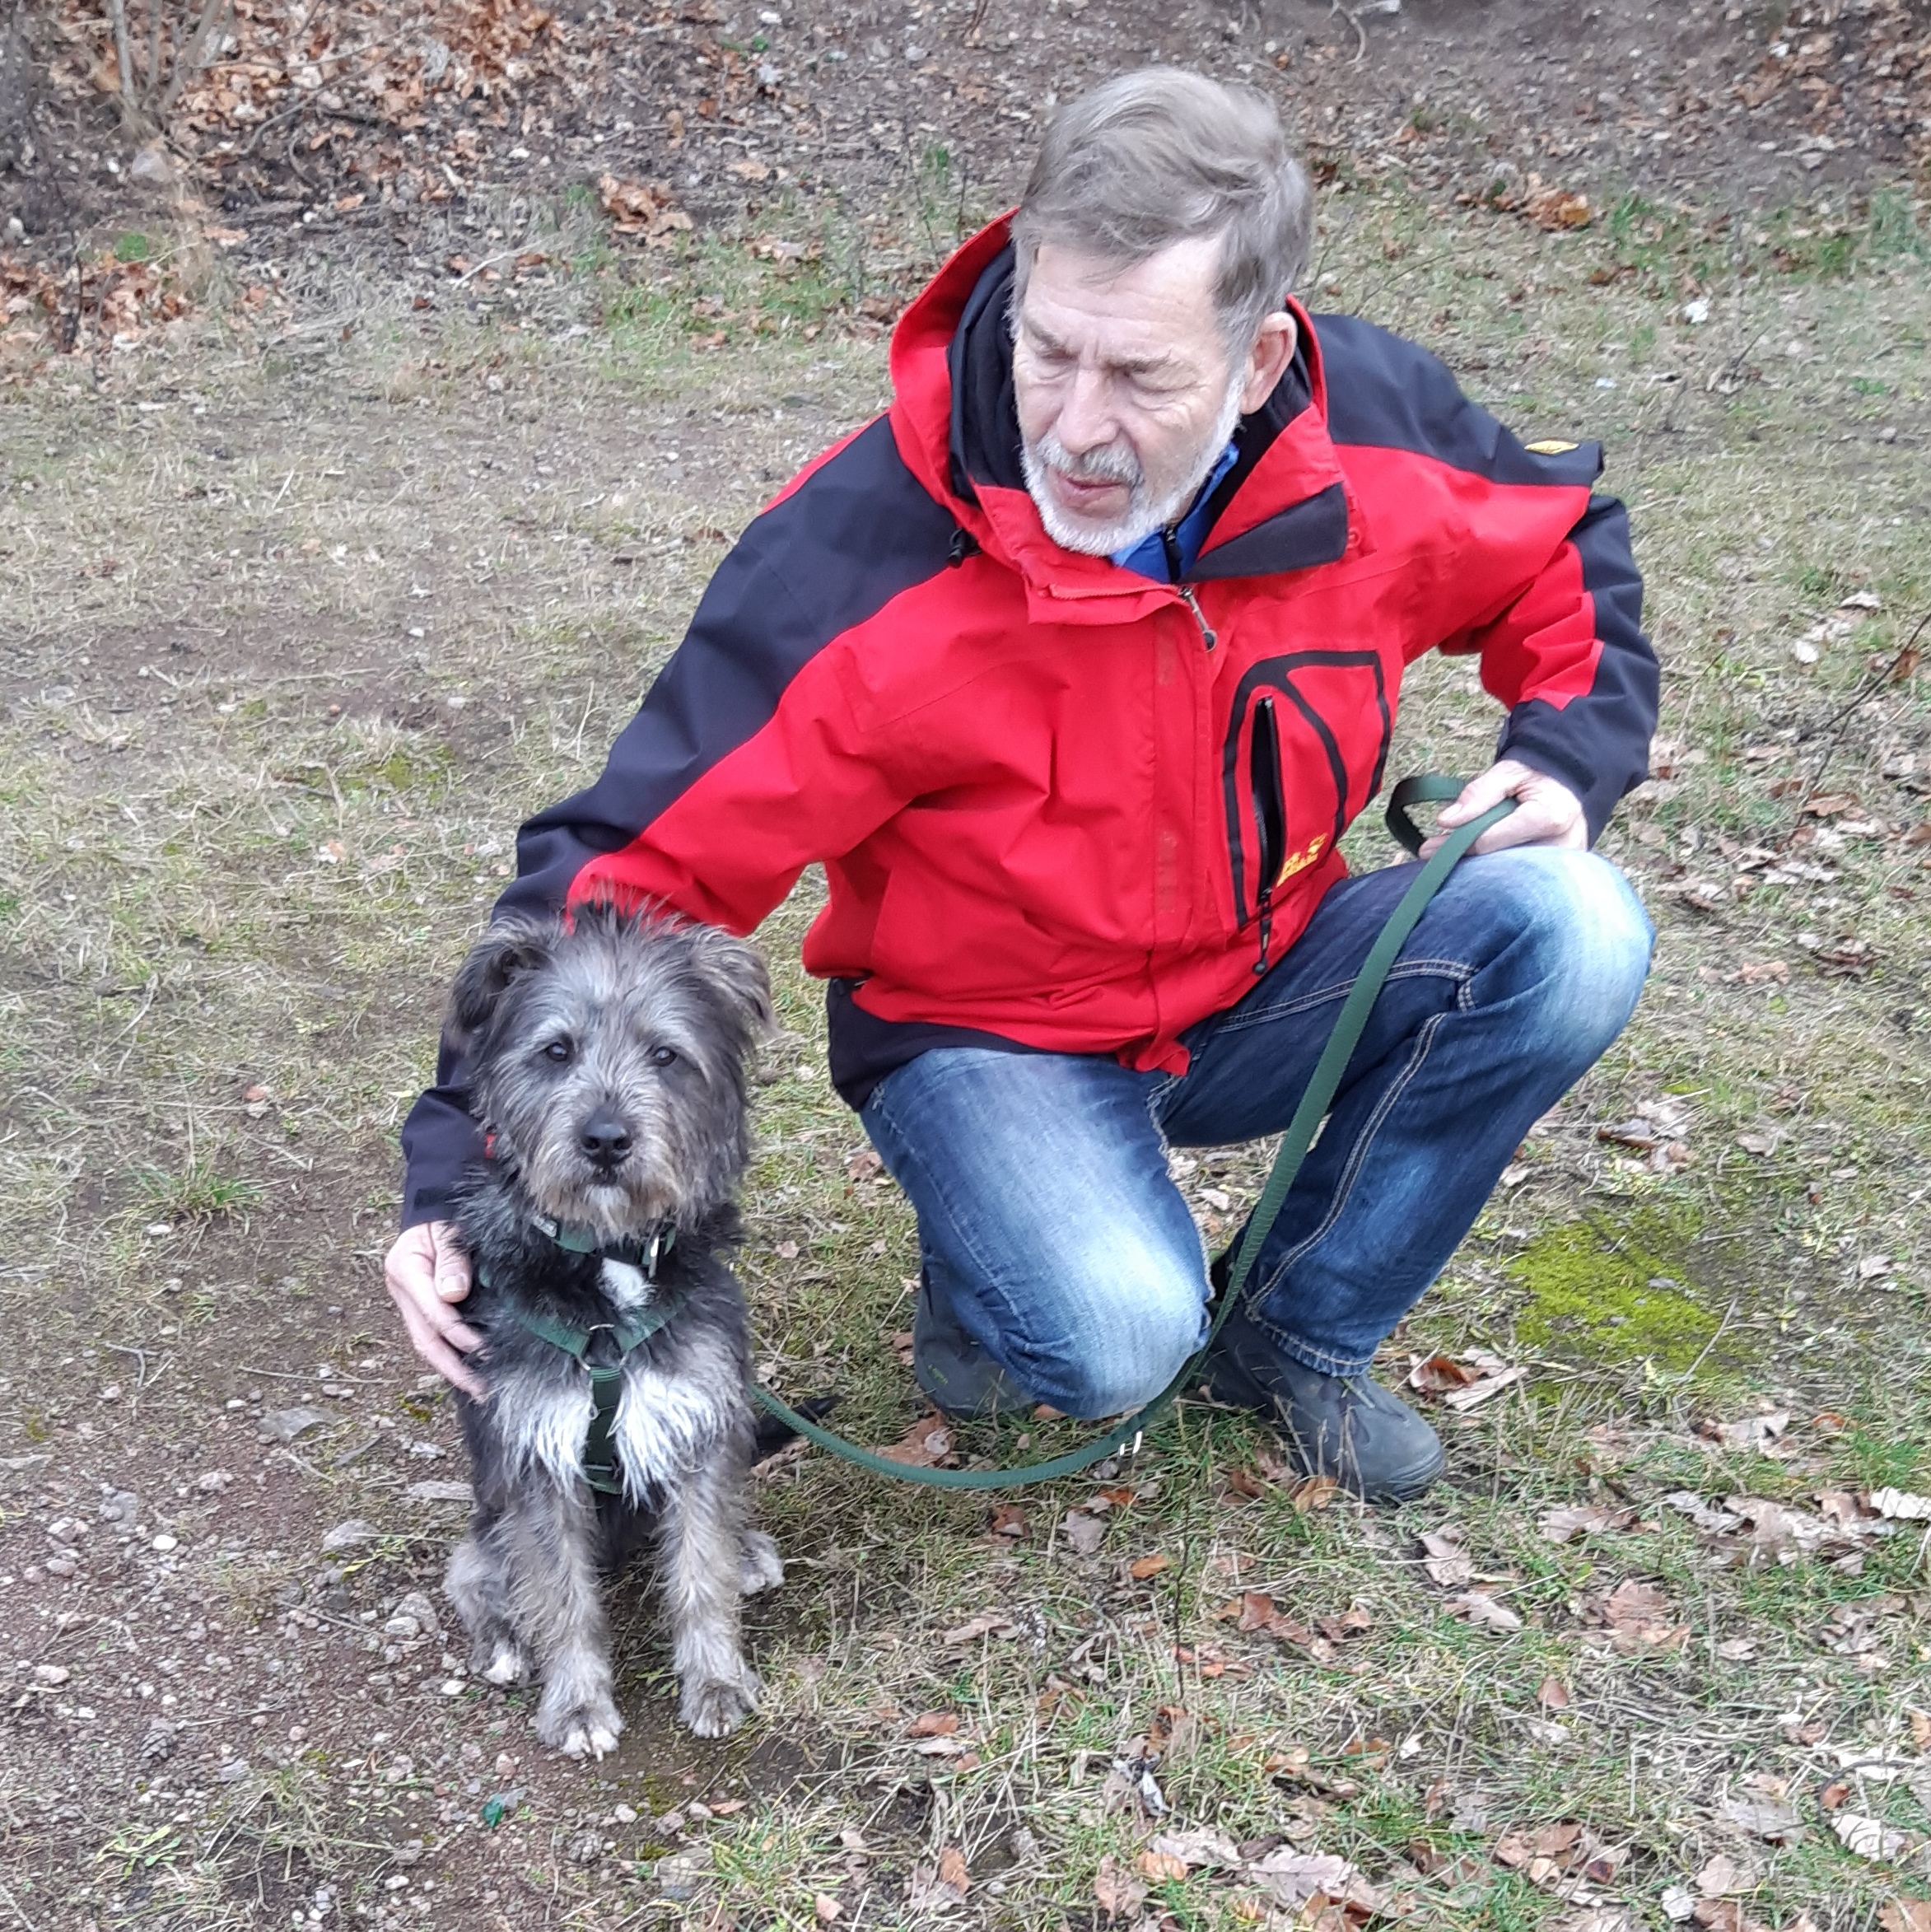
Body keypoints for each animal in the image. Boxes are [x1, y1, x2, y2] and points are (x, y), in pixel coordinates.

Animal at [438, 901, 783, 1753]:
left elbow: (700, 1571)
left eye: (665, 1055)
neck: (609, 1261)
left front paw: (716, 1681)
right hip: (486, 1523)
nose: (604, 1140)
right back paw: (501, 1644)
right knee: (473, 1577)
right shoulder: (536, 1457)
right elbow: (561, 1599)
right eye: (556, 1051)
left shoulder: (696, 1427)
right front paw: (577, 1705)